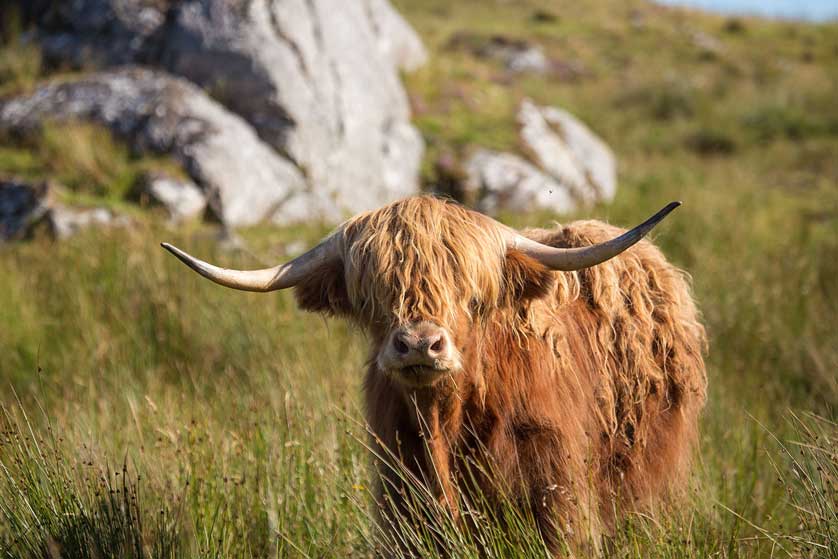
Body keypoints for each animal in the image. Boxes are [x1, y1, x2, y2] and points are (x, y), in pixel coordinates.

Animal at [162, 195, 707, 554]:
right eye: (373, 297)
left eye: (470, 294)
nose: (420, 344)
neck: (445, 423)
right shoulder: (400, 498)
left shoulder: (557, 498)